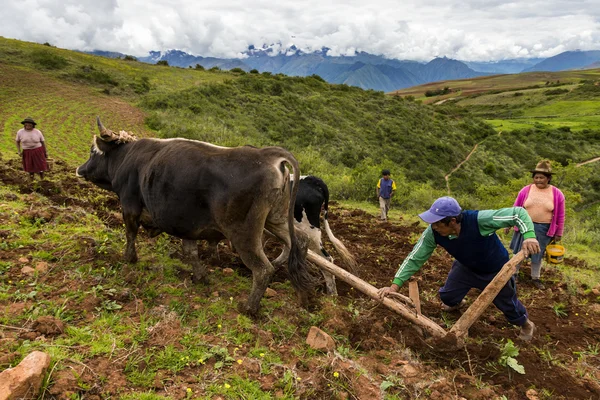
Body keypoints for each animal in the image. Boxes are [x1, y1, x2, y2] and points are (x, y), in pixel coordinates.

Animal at [76, 117, 314, 314]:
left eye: (92, 151)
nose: (79, 169)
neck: (128, 158)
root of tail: (267, 155)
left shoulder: (130, 206)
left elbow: (130, 234)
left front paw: (129, 258)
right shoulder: (185, 224)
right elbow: (190, 252)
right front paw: (200, 276)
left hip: (244, 233)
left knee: (263, 269)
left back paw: (250, 308)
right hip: (276, 219)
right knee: (299, 243)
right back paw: (302, 296)